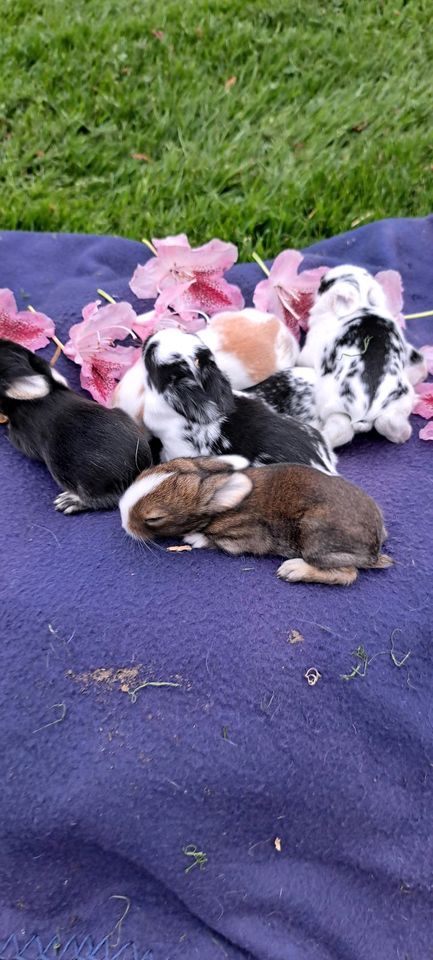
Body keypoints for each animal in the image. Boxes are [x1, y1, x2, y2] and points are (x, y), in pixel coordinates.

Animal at [120, 456, 390, 588]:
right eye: (144, 473)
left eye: (154, 518)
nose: (123, 520)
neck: (218, 508)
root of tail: (374, 548)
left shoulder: (239, 537)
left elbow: (213, 540)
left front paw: (194, 538)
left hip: (316, 542)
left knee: (348, 573)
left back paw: (293, 570)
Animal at [298, 264, 416, 448]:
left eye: (326, 284)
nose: (322, 276)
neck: (363, 305)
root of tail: (367, 409)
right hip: (400, 403)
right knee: (388, 423)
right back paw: (402, 436)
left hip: (331, 406)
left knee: (341, 431)